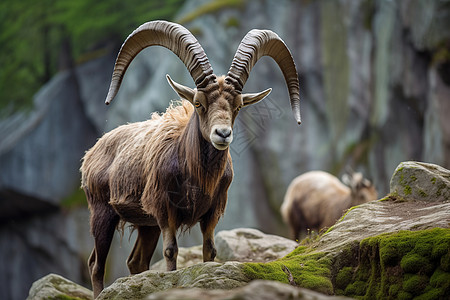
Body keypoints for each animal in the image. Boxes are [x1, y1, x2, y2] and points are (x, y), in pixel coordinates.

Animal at [80, 21, 300, 298]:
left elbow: (210, 250)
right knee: (96, 264)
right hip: (103, 212)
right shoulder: (165, 209)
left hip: (147, 224)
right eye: (198, 103)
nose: (222, 134)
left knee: (136, 262)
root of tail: (92, 153)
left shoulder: (212, 211)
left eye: (238, 106)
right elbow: (170, 251)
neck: (194, 174)